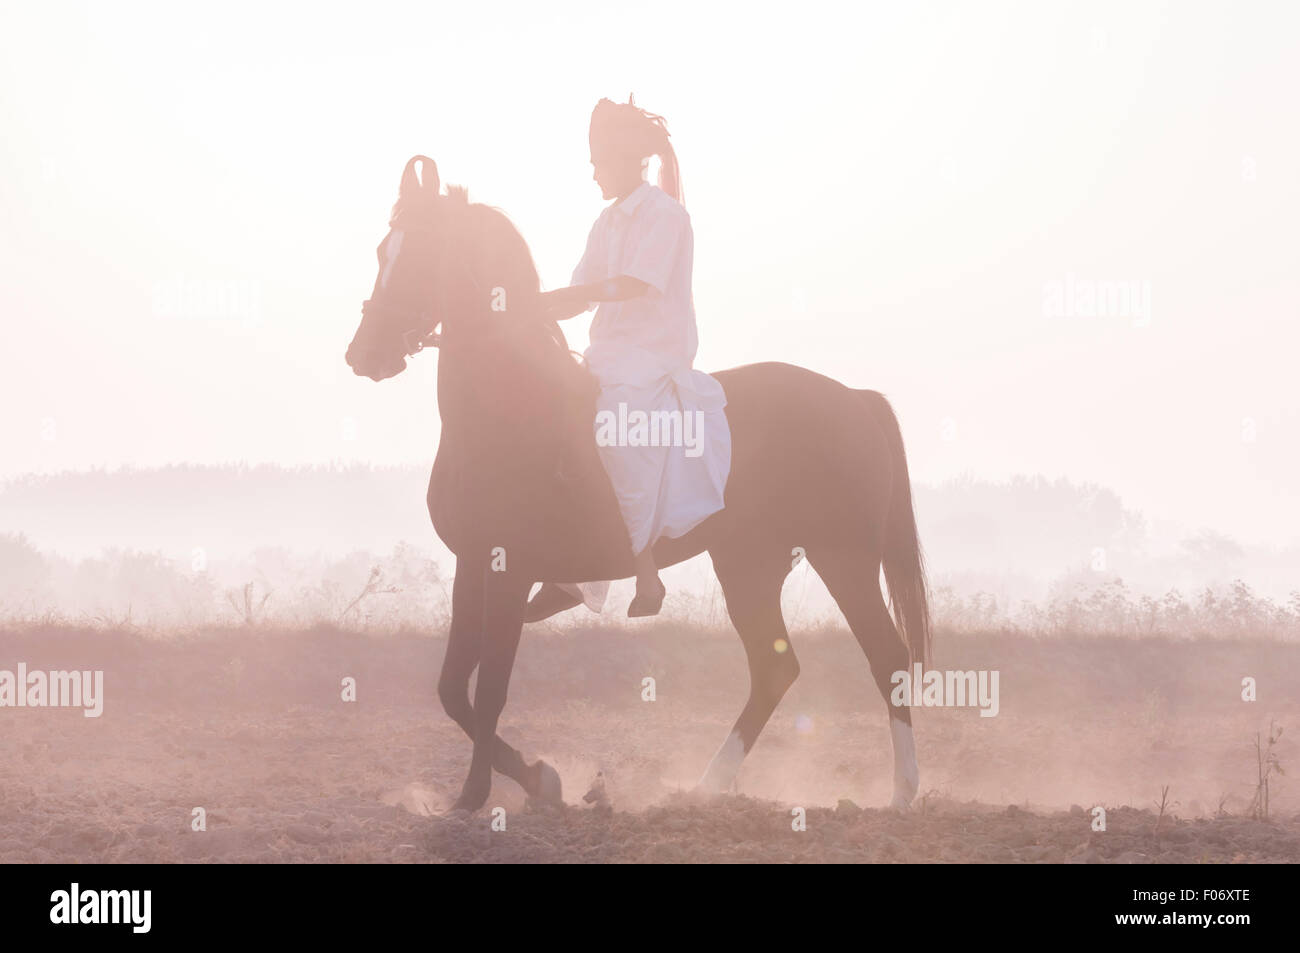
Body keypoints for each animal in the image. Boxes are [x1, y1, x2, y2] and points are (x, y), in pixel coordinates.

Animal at [345, 156, 931, 813]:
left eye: (422, 254)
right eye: (383, 251)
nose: (363, 354)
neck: (505, 409)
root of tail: (854, 398)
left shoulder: (509, 569)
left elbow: (491, 688)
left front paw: (487, 793)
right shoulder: (471, 564)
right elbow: (452, 689)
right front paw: (523, 782)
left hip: (842, 557)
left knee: (886, 655)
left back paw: (902, 791)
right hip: (749, 566)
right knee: (774, 668)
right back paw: (706, 786)